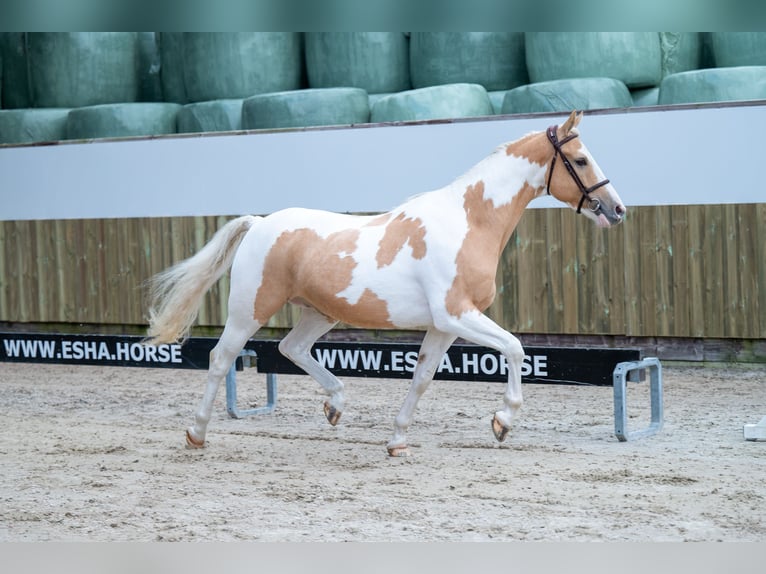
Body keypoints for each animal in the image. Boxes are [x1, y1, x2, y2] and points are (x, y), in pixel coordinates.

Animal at [147, 110, 628, 456]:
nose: (616, 209)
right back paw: (196, 433)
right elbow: (514, 348)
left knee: (291, 348)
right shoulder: (457, 314)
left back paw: (335, 406)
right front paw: (502, 422)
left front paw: (397, 441)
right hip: (250, 309)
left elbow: (422, 377)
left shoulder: (444, 326)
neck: (469, 222)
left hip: (319, 313)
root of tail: (259, 223)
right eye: (581, 160)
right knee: (220, 359)